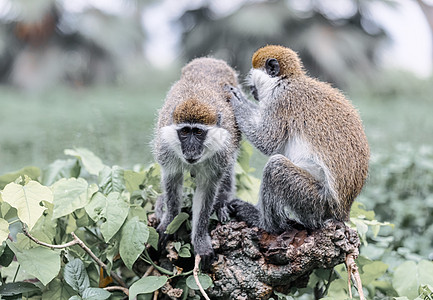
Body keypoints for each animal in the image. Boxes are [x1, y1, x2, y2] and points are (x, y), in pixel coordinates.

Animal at [152, 57, 240, 264]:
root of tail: (209, 60)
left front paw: (200, 240)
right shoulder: (166, 147)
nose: (191, 148)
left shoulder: (221, 152)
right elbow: (172, 179)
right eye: (185, 131)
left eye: (198, 132)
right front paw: (169, 222)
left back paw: (223, 200)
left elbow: (206, 191)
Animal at [228, 45, 370, 232]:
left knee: (275, 167)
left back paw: (265, 224)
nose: (252, 91)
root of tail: (340, 214)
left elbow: (267, 141)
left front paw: (238, 100)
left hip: (316, 202)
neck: (286, 80)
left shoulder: (280, 100)